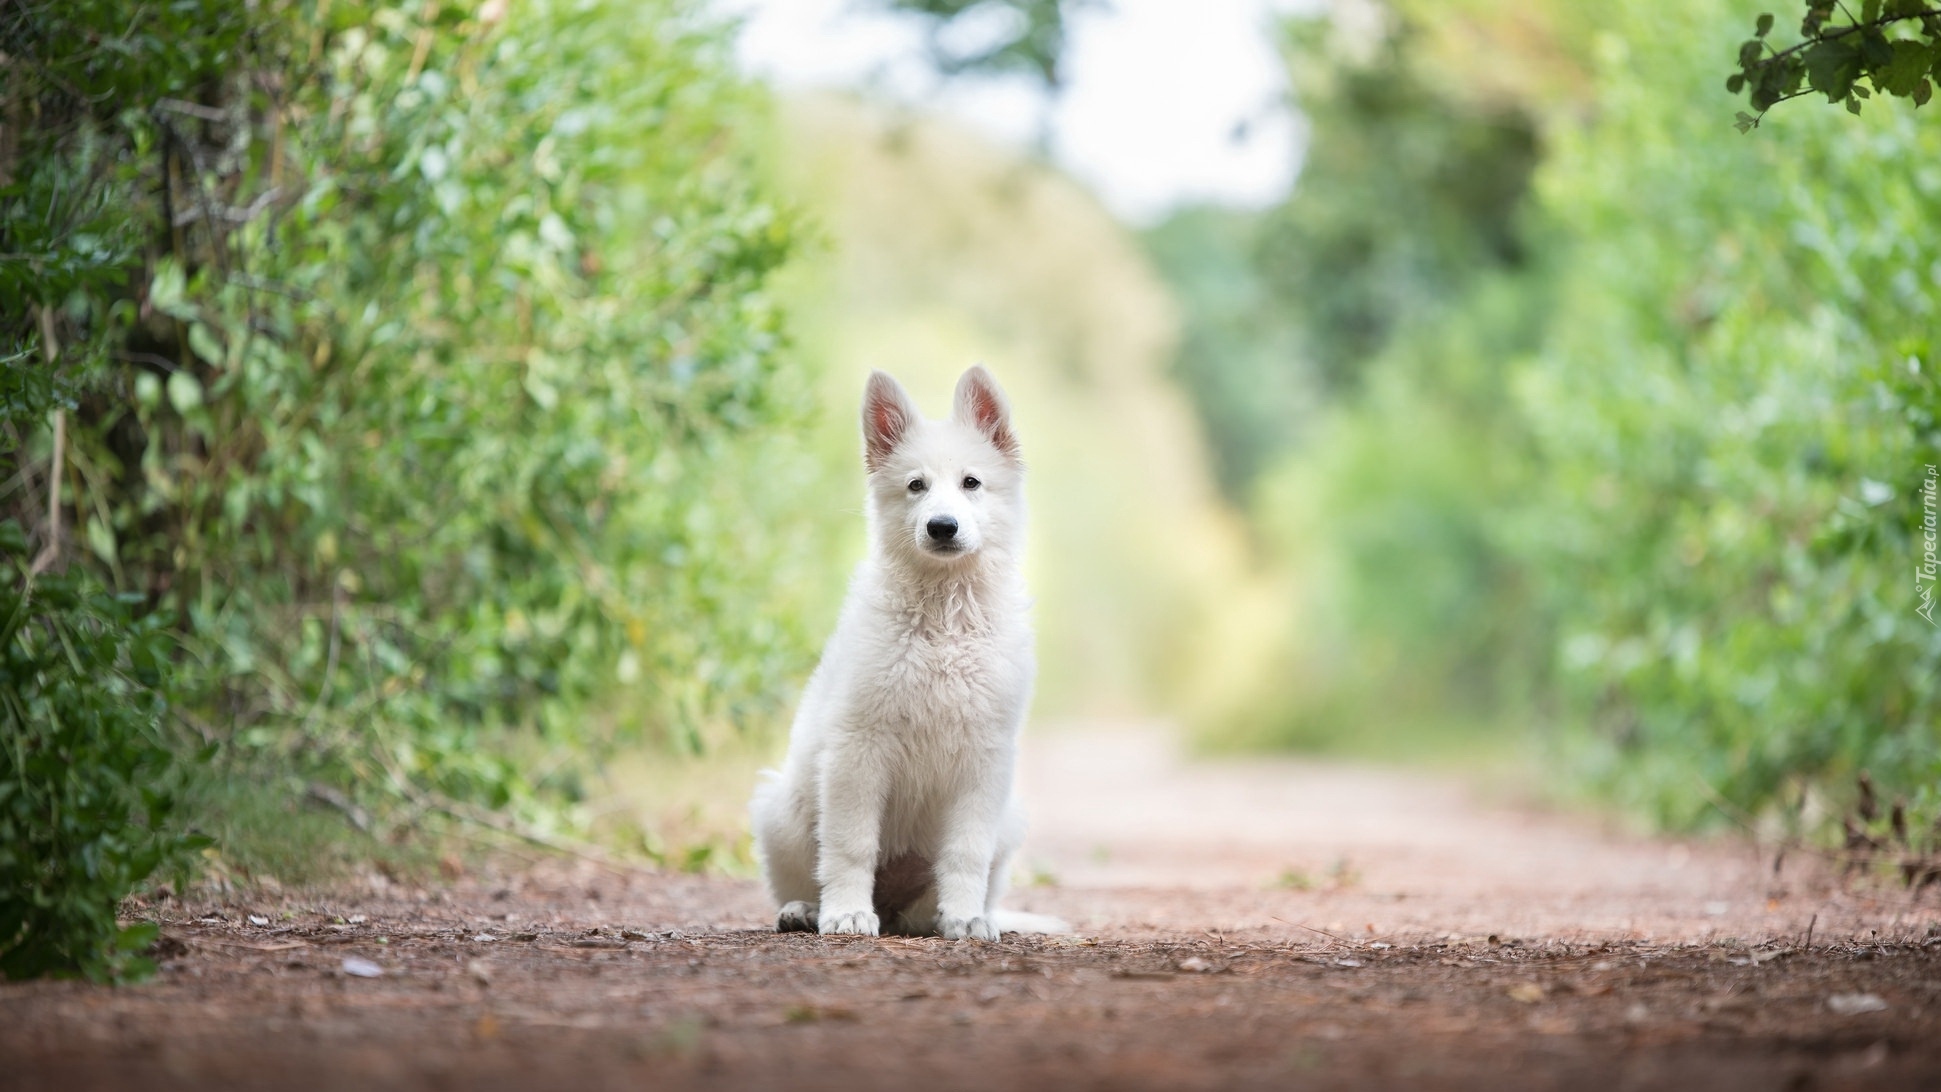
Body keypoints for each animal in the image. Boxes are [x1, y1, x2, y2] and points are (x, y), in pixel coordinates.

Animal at [749, 366, 1071, 938]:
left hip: (1010, 818)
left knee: (934, 899)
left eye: (971, 483)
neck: (944, 617)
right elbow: (850, 845)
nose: (942, 526)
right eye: (915, 486)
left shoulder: (985, 757)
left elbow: (966, 852)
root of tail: (895, 907)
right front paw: (848, 913)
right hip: (780, 810)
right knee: (806, 874)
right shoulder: (858, 747)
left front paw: (966, 918)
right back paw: (807, 910)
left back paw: (948, 918)